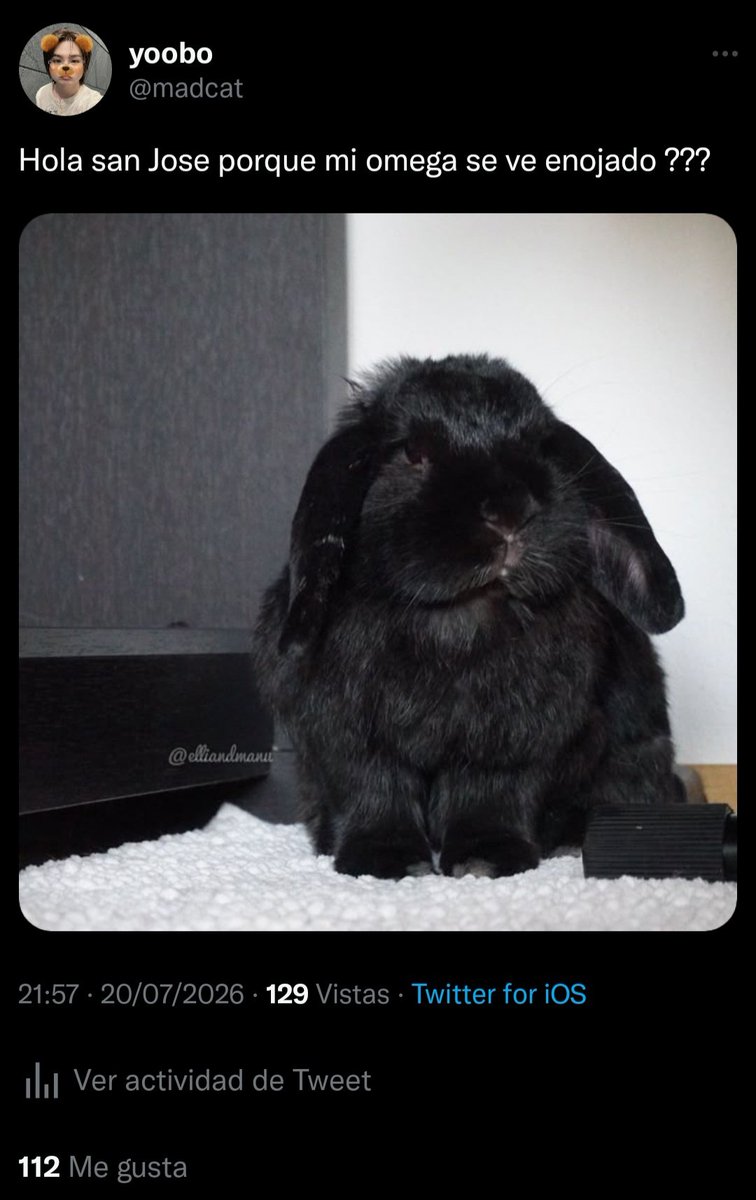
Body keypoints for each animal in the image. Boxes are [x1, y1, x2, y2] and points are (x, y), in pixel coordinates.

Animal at [252, 354, 685, 880]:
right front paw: (386, 862)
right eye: (413, 452)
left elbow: (486, 797)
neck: (459, 618)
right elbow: (375, 793)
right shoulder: (350, 739)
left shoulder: (510, 742)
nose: (510, 511)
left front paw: (486, 860)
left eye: (538, 446)